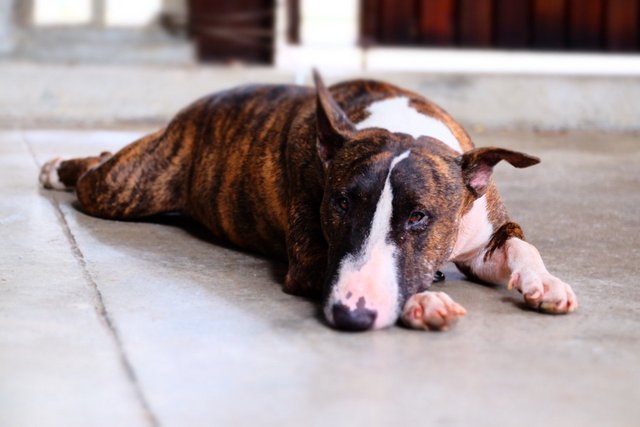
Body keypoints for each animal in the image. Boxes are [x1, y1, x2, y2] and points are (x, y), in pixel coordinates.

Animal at [41, 71, 580, 332]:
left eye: (419, 216)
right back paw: (57, 167)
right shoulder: (310, 255)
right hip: (123, 187)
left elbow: (520, 245)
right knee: (96, 171)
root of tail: (191, 109)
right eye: (339, 204)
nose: (351, 316)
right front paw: (423, 301)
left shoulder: (483, 234)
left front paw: (546, 284)